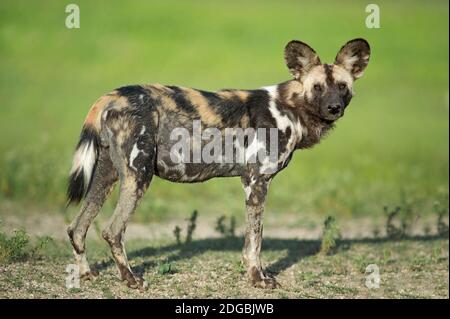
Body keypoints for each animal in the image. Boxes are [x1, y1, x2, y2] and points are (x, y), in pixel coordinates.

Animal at [66, 38, 370, 290]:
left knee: (77, 228)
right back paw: (130, 279)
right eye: (317, 88)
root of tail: (112, 95)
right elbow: (255, 241)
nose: (334, 107)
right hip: (138, 176)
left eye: (342, 87)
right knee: (112, 231)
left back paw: (86, 274)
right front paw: (258, 279)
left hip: (107, 176)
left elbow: (252, 241)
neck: (291, 109)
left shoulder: (252, 183)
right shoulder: (257, 182)